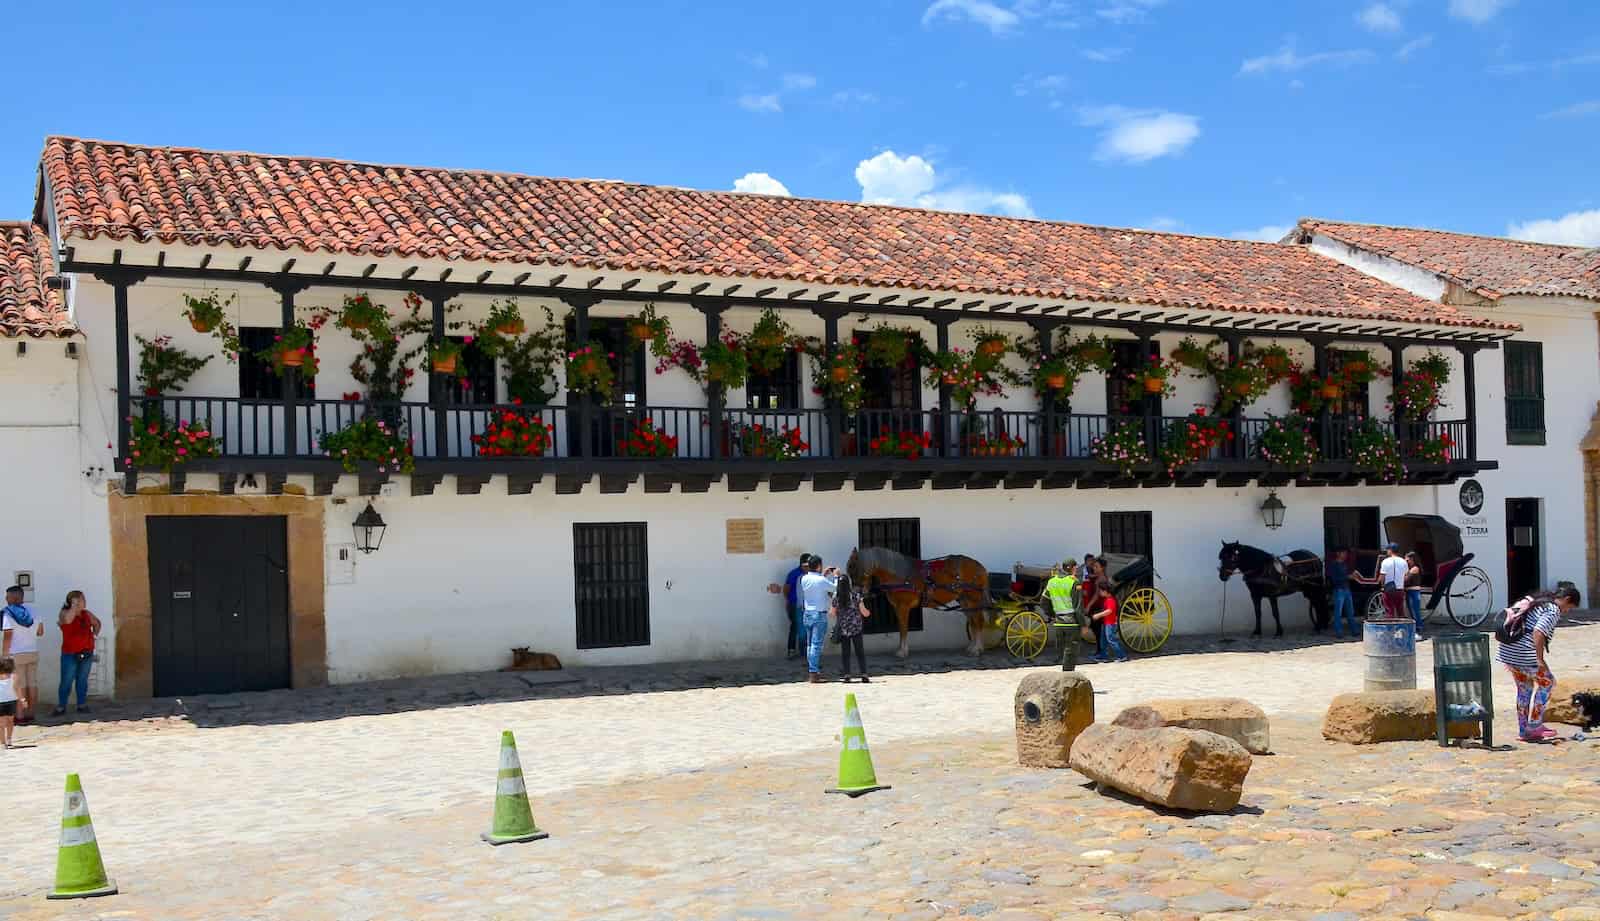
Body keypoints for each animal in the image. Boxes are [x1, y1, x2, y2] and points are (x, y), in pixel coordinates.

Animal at [851, 546, 985, 655]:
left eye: (854, 568)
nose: (856, 593)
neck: (900, 576)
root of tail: (980, 567)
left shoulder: (903, 607)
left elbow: (903, 628)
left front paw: (902, 651)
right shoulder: (897, 607)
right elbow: (901, 627)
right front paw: (901, 649)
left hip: (973, 599)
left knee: (978, 621)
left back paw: (976, 649)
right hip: (964, 601)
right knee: (972, 621)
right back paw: (972, 647)